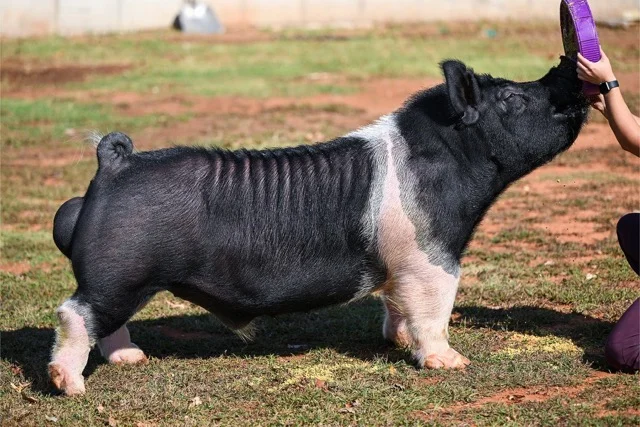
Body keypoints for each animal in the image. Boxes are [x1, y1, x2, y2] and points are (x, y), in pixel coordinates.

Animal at [49, 58, 588, 395]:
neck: (454, 159)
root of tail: (116, 163)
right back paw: (70, 387)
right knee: (75, 313)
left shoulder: (399, 267)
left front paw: (397, 343)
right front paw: (451, 363)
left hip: (127, 279)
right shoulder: (431, 256)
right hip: (121, 270)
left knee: (105, 321)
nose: (568, 75)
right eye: (514, 97)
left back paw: (131, 359)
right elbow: (435, 308)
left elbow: (397, 304)